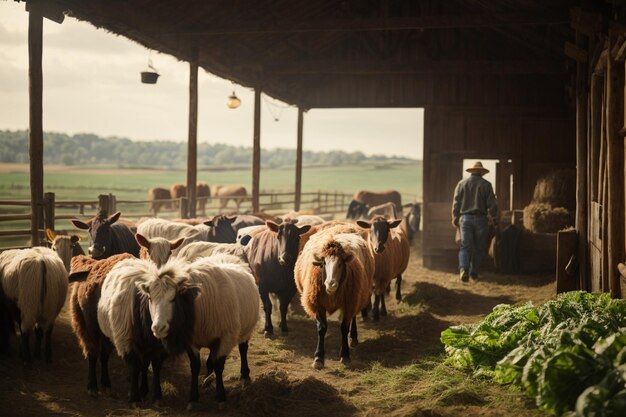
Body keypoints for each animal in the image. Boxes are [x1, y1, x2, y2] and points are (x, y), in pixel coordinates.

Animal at [136, 255, 260, 408]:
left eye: (173, 298)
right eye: (150, 298)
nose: (158, 328)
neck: (197, 306)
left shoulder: (226, 337)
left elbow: (219, 365)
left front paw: (221, 397)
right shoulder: (192, 341)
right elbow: (195, 366)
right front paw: (193, 398)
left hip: (246, 330)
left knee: (243, 349)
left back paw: (244, 376)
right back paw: (208, 379)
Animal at [294, 228, 372, 368]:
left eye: (340, 264)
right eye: (324, 263)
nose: (330, 283)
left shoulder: (349, 303)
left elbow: (344, 328)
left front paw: (345, 355)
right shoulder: (318, 303)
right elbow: (322, 328)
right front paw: (318, 358)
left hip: (356, 297)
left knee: (353, 317)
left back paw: (353, 337)